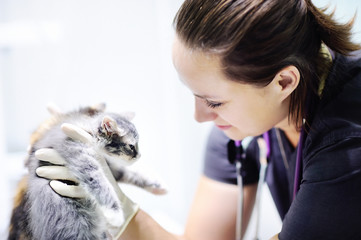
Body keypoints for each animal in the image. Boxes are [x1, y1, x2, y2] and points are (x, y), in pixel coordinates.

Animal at [8, 104, 165, 240]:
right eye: (132, 146)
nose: (139, 155)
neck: (88, 131)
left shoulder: (109, 167)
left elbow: (128, 174)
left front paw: (157, 186)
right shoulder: (82, 157)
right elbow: (102, 184)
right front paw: (114, 213)